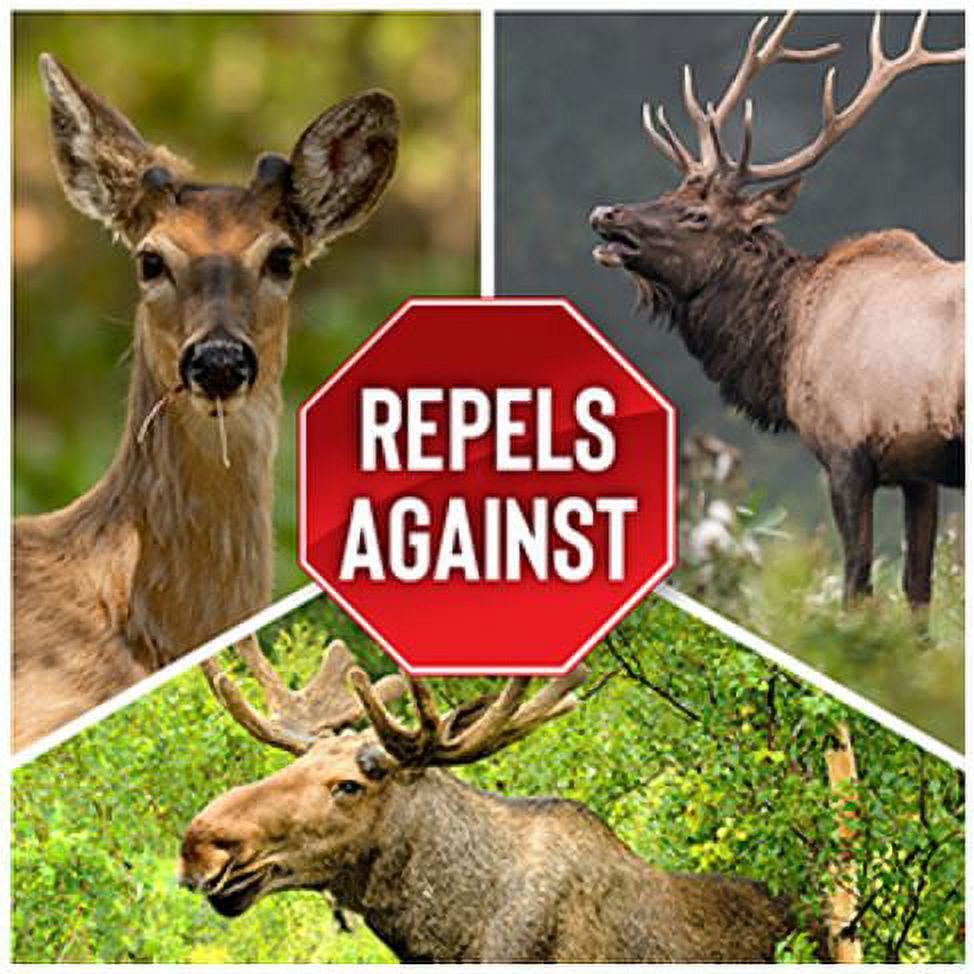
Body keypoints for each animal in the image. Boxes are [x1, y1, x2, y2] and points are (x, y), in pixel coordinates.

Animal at [589, 12, 964, 611]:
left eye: (697, 214)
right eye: (670, 190)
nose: (606, 213)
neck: (786, 342)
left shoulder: (846, 451)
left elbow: (857, 585)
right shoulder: (918, 469)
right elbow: (917, 590)